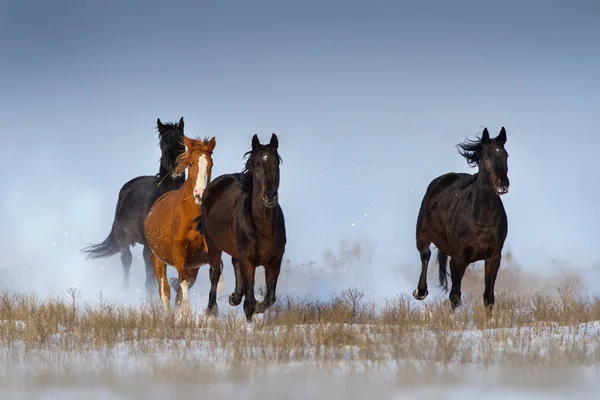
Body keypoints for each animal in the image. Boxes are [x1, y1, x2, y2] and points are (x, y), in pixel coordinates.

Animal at [81, 117, 185, 296]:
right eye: (163, 142)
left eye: (182, 140)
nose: (176, 165)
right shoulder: (150, 249)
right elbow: (151, 281)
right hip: (124, 240)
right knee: (126, 261)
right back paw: (125, 290)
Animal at [144, 134, 223, 316]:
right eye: (191, 163)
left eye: (211, 164)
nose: (200, 194)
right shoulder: (178, 249)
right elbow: (182, 280)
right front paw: (187, 311)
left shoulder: (208, 249)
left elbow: (216, 273)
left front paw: (213, 309)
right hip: (158, 259)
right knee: (164, 290)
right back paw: (168, 316)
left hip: (194, 265)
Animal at [195, 134, 284, 322]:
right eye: (256, 164)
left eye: (276, 164)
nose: (270, 196)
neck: (263, 227)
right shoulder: (248, 261)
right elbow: (249, 302)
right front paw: (249, 323)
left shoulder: (275, 261)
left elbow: (270, 298)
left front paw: (256, 307)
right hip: (213, 244)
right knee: (214, 274)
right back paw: (211, 309)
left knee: (234, 263)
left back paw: (234, 297)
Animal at [412, 126, 510, 318]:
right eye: (486, 157)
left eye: (506, 155)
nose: (503, 183)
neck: (480, 218)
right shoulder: (458, 258)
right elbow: (455, 296)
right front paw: (453, 320)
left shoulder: (493, 257)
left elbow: (488, 297)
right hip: (422, 235)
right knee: (425, 255)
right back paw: (420, 291)